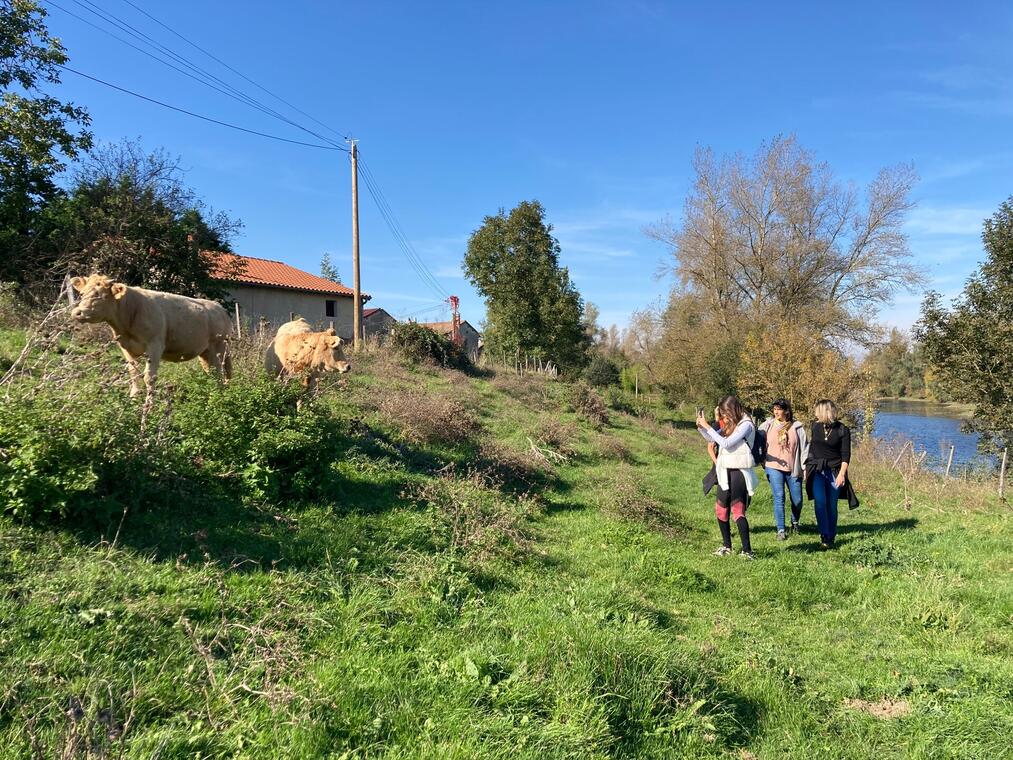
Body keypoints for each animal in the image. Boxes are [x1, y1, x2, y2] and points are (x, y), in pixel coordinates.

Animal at [70, 275, 231, 399]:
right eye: (82, 294)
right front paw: (133, 398)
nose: (77, 312)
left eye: (101, 296)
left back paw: (220, 397)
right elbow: (133, 374)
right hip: (205, 353)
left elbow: (149, 378)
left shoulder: (155, 345)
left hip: (219, 348)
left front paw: (149, 408)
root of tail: (219, 307)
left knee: (221, 373)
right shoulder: (126, 348)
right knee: (212, 373)